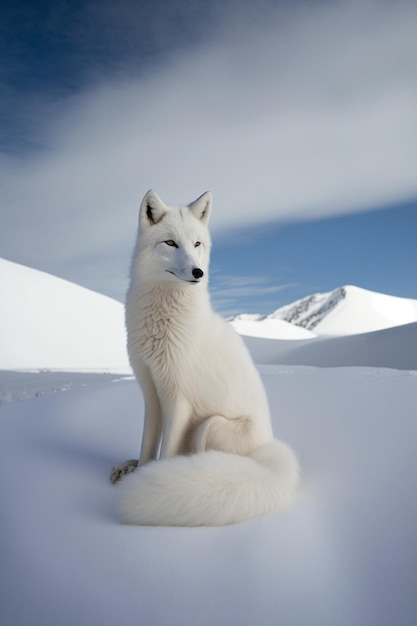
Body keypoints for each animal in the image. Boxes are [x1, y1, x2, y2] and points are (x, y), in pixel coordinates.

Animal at [110, 189, 300, 520]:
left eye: (197, 244)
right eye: (170, 243)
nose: (198, 272)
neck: (161, 324)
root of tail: (267, 454)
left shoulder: (179, 399)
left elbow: (165, 452)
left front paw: (154, 479)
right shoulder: (151, 393)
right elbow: (148, 446)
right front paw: (141, 470)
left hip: (208, 426)